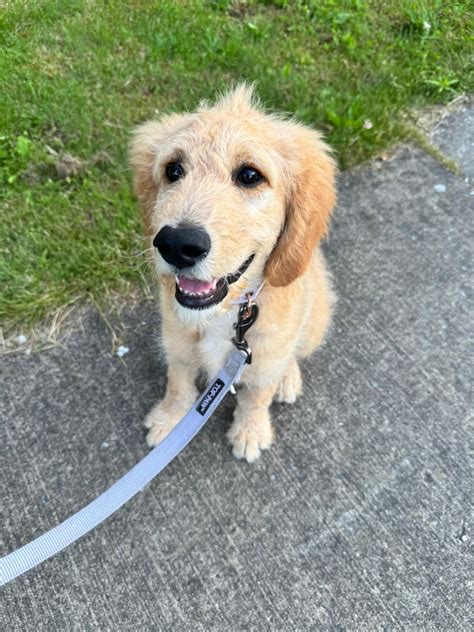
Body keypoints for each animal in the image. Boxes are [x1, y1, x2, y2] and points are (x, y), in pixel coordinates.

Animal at [131, 84, 336, 462]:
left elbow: (258, 394)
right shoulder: (176, 341)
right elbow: (177, 380)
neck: (226, 315)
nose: (175, 244)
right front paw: (170, 420)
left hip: (316, 319)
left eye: (250, 175)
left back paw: (289, 379)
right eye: (173, 169)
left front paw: (250, 432)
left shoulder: (267, 353)